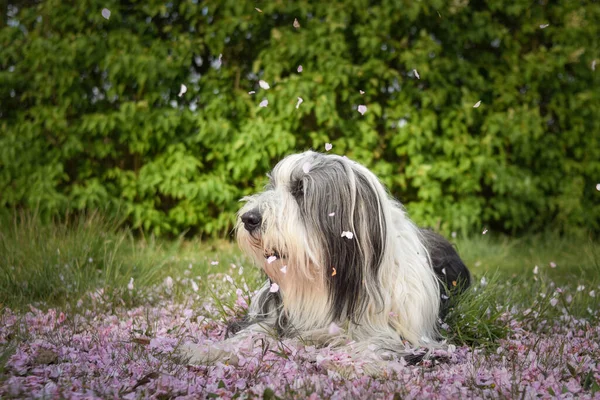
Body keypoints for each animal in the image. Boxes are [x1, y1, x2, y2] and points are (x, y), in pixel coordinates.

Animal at [180, 152, 472, 368]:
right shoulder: (276, 315)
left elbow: (379, 342)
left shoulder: (413, 335)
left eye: (300, 190)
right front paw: (208, 350)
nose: (248, 218)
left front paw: (350, 363)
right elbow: (254, 332)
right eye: (272, 186)